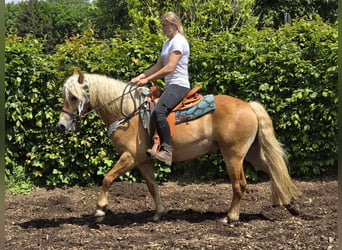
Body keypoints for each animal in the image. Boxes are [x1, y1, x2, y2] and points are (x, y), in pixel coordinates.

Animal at [55, 71, 300, 223]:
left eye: (74, 97)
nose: (61, 125)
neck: (126, 113)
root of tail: (248, 106)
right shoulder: (142, 161)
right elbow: (152, 186)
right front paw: (159, 213)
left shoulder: (129, 157)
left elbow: (107, 178)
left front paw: (99, 209)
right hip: (252, 152)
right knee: (274, 170)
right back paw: (291, 204)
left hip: (234, 154)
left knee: (240, 184)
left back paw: (230, 217)